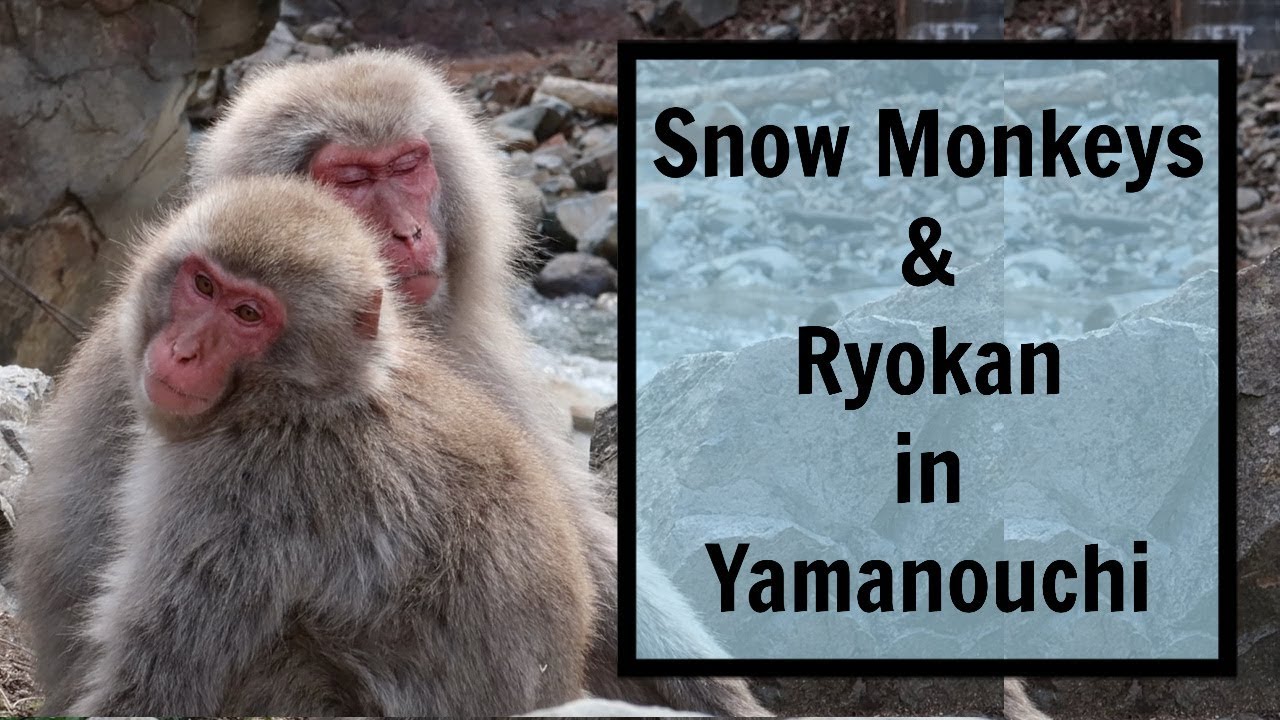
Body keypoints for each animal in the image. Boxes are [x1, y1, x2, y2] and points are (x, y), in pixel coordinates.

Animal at [52, 175, 595, 715]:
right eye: (203, 285)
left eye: (248, 313)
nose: (183, 351)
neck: (299, 402)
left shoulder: (244, 494)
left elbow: (155, 682)